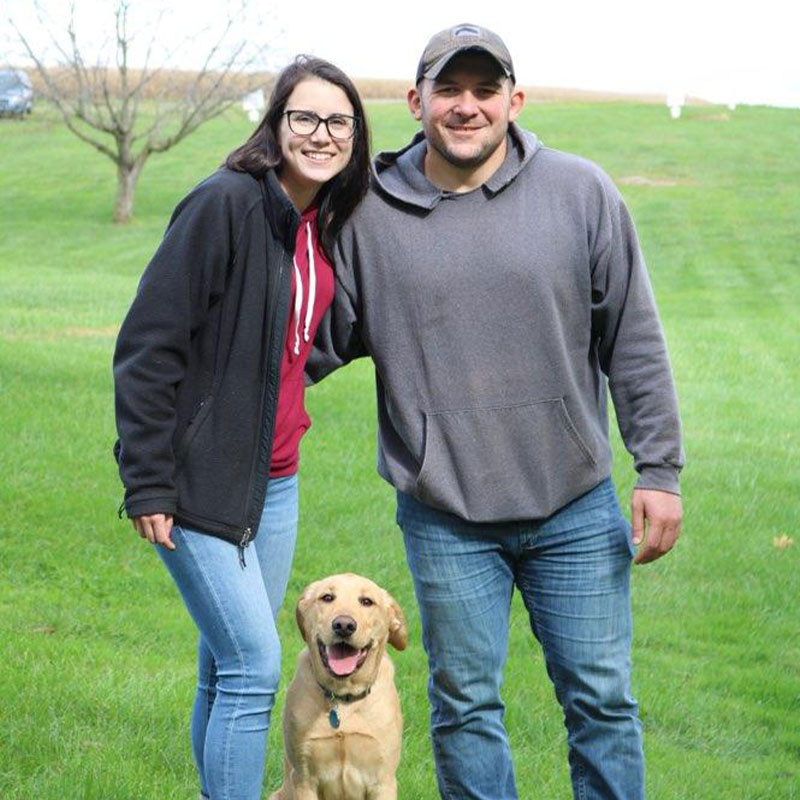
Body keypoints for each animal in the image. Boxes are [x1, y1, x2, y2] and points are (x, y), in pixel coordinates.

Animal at [270, 572, 406, 796]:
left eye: (367, 601)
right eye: (327, 597)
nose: (343, 625)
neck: (343, 699)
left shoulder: (383, 781)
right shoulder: (303, 779)